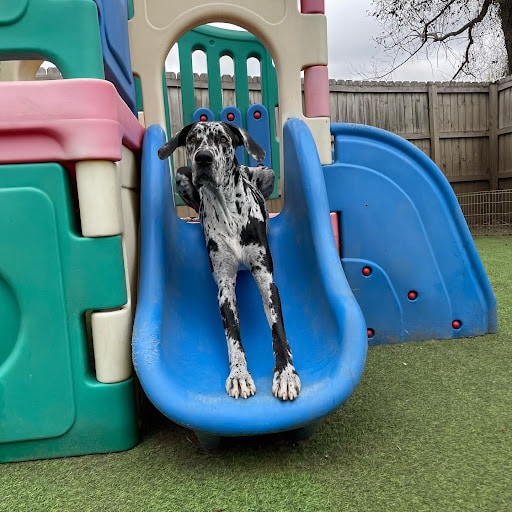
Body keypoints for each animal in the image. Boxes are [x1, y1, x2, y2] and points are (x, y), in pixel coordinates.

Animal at [157, 122, 300, 402]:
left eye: (223, 139)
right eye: (192, 139)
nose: (203, 158)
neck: (228, 212)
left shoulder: (266, 280)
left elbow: (278, 330)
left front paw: (286, 374)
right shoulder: (224, 287)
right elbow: (233, 336)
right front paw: (239, 375)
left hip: (266, 170)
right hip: (182, 174)